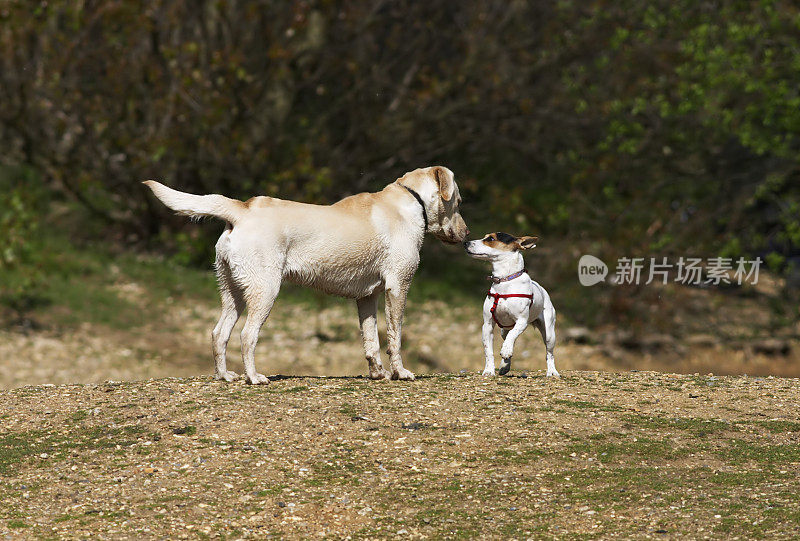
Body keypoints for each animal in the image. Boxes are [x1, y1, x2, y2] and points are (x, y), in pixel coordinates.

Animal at [144, 167, 468, 382]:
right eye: (459, 201)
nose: (467, 235)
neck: (412, 201)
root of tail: (243, 209)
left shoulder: (367, 297)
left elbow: (371, 340)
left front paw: (378, 373)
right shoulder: (398, 287)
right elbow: (394, 337)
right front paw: (400, 372)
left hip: (232, 292)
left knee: (218, 333)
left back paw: (225, 376)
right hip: (265, 290)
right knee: (247, 335)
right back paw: (255, 377)